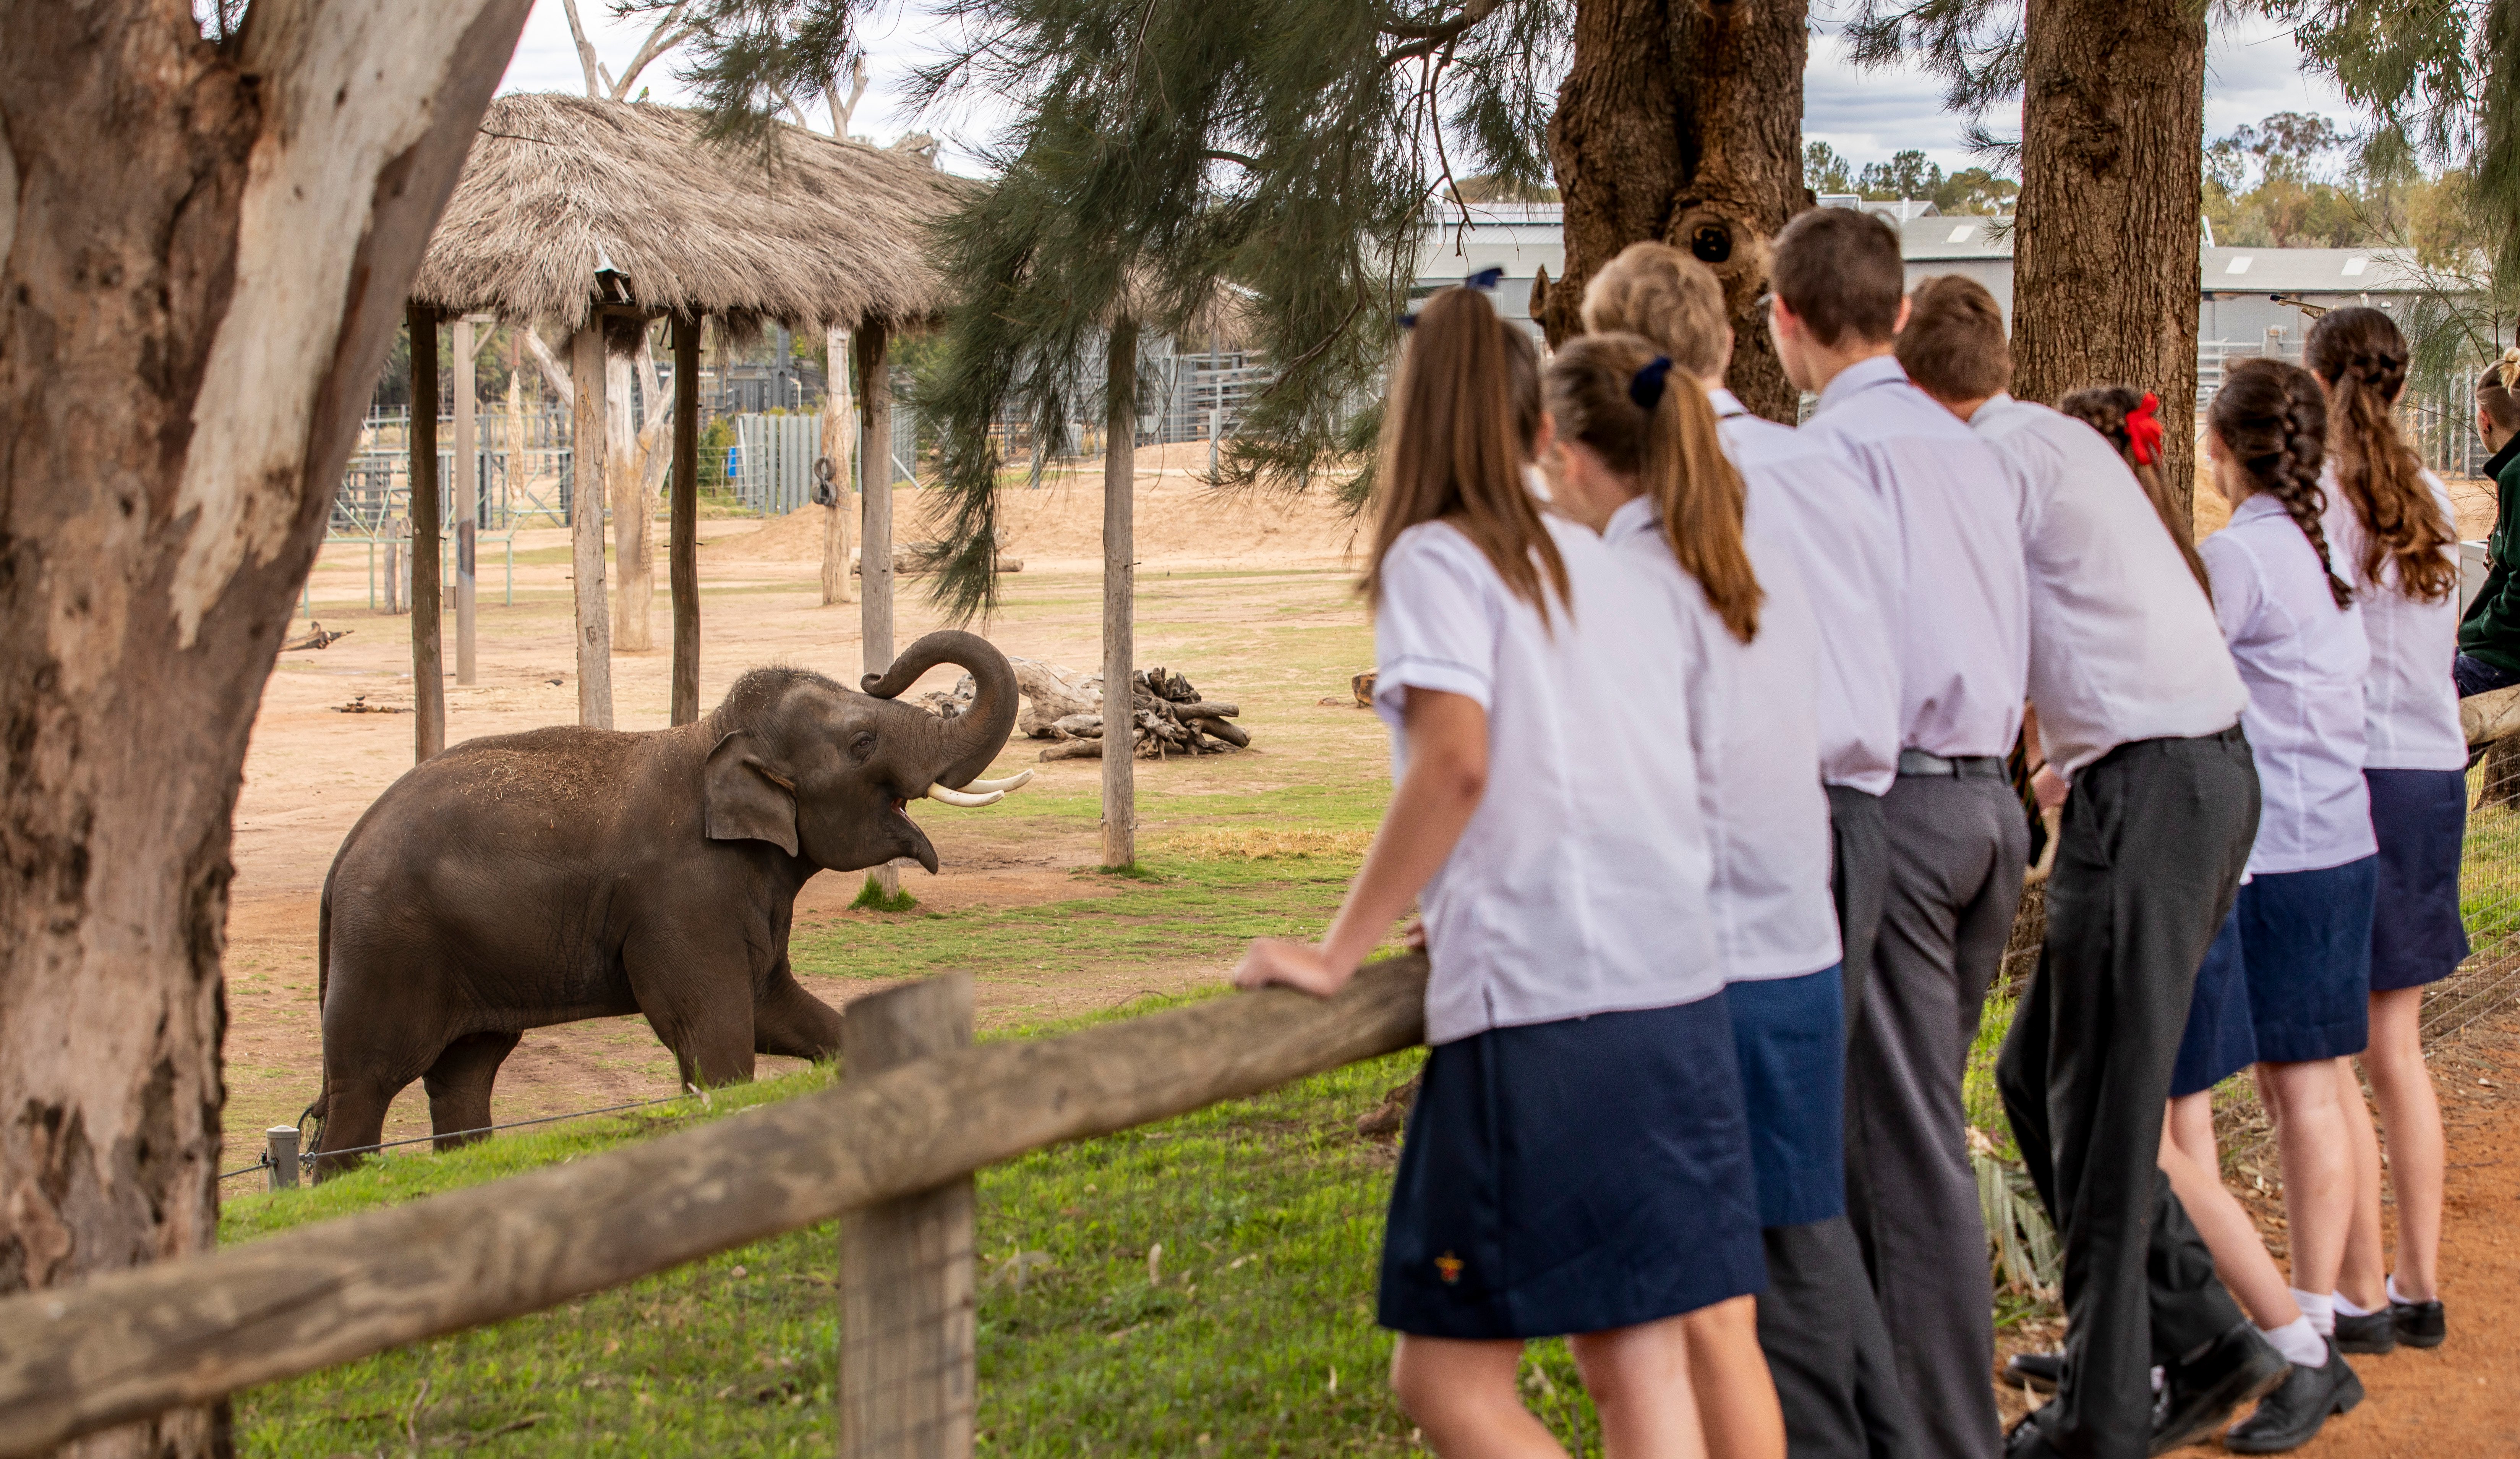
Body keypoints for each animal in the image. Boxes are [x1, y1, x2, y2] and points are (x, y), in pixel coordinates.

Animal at [306, 629, 1029, 1174]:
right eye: (862, 743)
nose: (875, 673)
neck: (714, 738)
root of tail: (341, 857)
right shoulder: (683, 898)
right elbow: (717, 1036)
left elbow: (778, 1010)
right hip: (387, 948)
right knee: (365, 1081)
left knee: (465, 1072)